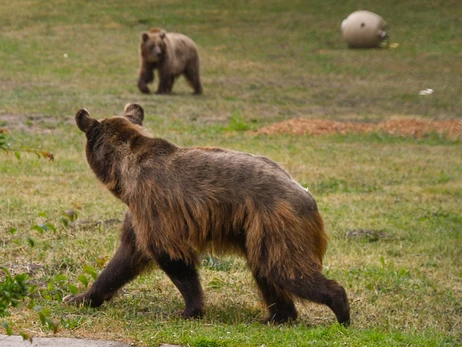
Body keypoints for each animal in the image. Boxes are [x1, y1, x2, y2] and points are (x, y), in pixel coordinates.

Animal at [66, 103, 350, 326]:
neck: (125, 173)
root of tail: (307, 195)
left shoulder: (155, 203)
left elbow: (170, 254)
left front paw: (190, 309)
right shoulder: (137, 214)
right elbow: (124, 259)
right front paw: (79, 297)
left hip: (276, 221)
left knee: (287, 269)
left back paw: (340, 310)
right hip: (260, 233)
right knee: (266, 271)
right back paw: (277, 316)